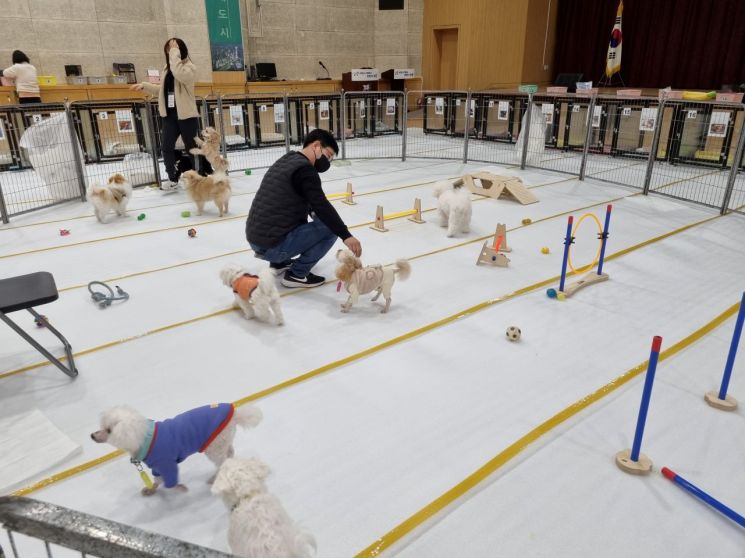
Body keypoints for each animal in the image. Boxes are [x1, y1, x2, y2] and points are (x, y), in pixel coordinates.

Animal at [89, 402, 262, 498]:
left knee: (222, 463)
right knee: (229, 454)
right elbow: (157, 480)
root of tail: (236, 413)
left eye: (109, 430)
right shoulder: (157, 467)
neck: (144, 437)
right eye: (101, 427)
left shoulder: (167, 464)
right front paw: (151, 490)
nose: (92, 435)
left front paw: (181, 488)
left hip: (214, 447)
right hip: (221, 442)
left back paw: (214, 478)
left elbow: (170, 483)